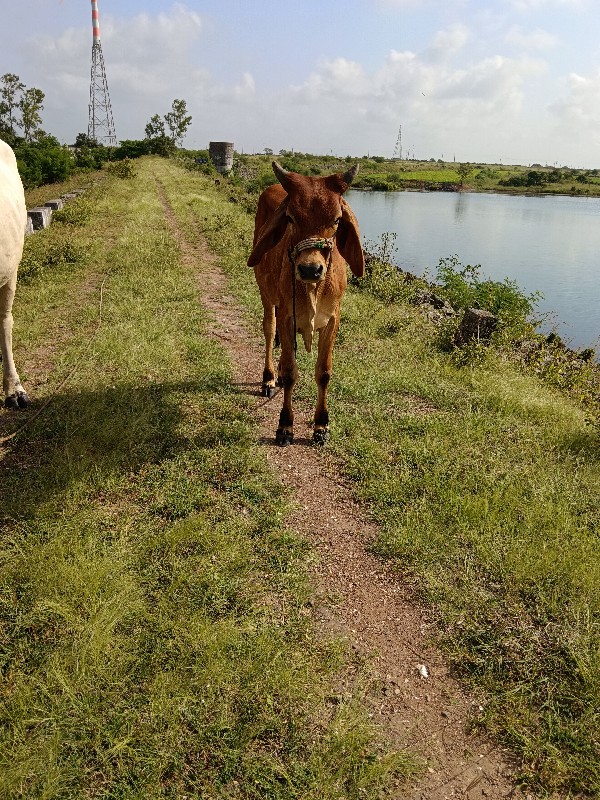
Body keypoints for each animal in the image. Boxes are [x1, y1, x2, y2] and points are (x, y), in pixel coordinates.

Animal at [246, 159, 364, 446]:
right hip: (266, 296)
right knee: (269, 332)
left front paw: (321, 425)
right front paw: (285, 426)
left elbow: (324, 372)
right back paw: (269, 378)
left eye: (337, 219)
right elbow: (290, 373)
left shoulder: (333, 319)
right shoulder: (287, 317)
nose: (310, 269)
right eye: (290, 217)